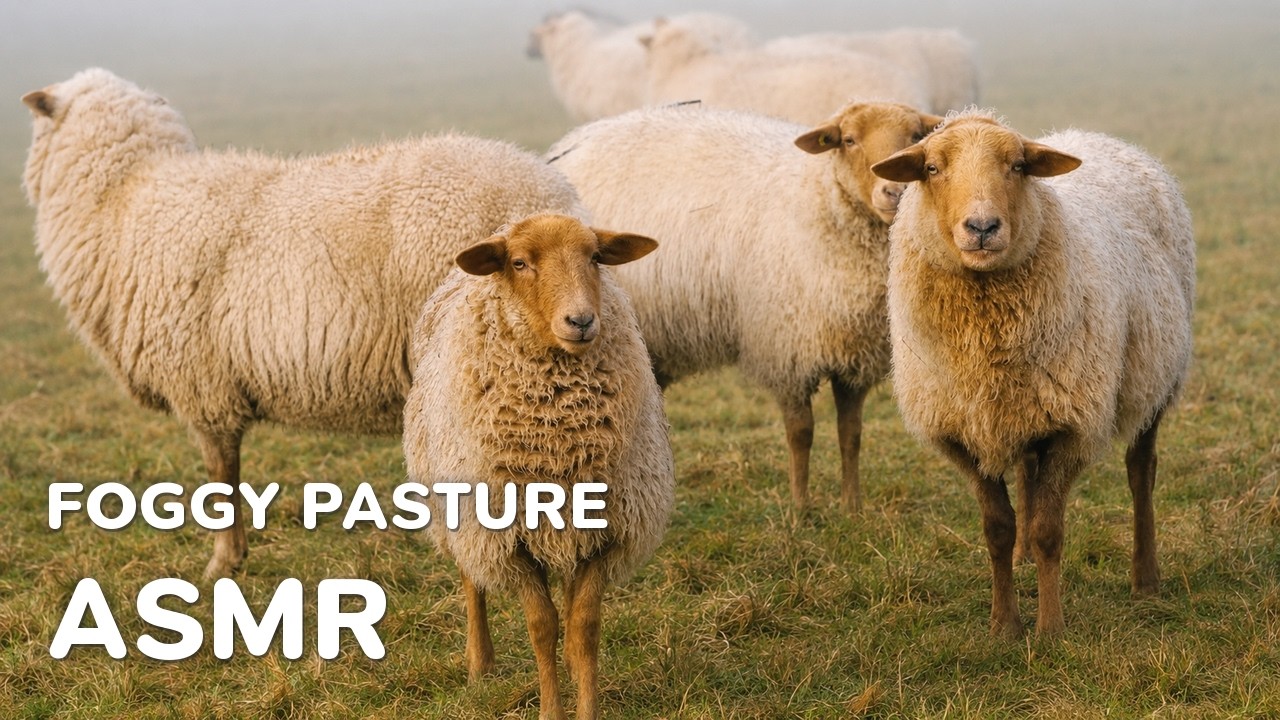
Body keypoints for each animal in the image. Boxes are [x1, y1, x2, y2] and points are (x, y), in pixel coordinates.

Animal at [403, 213, 673, 720]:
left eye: (595, 257)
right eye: (519, 262)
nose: (581, 320)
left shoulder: (607, 532)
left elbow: (584, 627)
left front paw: (586, 708)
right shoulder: (509, 541)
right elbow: (542, 627)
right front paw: (551, 710)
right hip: (460, 512)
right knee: (471, 582)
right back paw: (480, 664)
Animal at [548, 101, 944, 514]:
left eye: (916, 136)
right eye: (849, 140)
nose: (894, 192)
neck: (817, 198)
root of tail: (579, 139)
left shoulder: (851, 354)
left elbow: (850, 433)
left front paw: (852, 507)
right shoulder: (786, 348)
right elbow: (801, 433)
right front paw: (800, 509)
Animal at [871, 109, 1195, 637]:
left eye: (1019, 166)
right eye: (932, 168)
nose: (982, 227)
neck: (983, 337)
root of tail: (1097, 137)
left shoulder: (1072, 425)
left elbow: (1048, 530)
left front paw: (1050, 629)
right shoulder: (961, 432)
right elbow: (997, 530)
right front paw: (1004, 625)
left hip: (1156, 374)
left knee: (1140, 472)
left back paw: (1146, 578)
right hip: (1026, 404)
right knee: (1026, 470)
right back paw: (1024, 560)